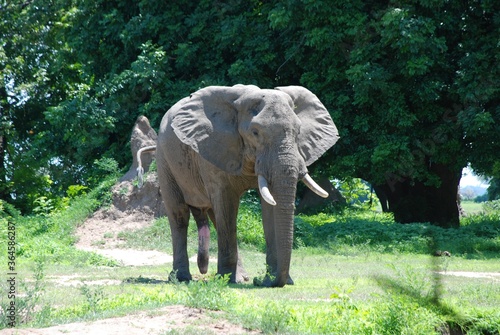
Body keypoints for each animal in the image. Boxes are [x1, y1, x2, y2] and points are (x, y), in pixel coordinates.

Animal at [146, 84, 338, 288]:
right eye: (255, 133)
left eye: (298, 131)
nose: (259, 280)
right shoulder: (213, 149)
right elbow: (226, 204)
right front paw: (226, 280)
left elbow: (269, 207)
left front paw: (271, 279)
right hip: (163, 158)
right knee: (180, 215)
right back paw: (181, 278)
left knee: (215, 217)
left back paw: (240, 277)